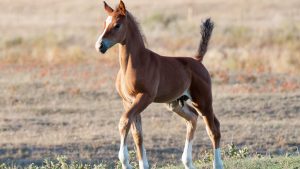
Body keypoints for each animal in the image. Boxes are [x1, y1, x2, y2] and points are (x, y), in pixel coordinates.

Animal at [95, 0, 224, 168]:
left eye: (117, 25)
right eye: (105, 23)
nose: (100, 45)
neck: (134, 64)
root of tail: (197, 60)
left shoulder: (145, 97)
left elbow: (124, 121)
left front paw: (125, 162)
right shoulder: (127, 101)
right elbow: (137, 134)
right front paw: (143, 165)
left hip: (203, 101)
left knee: (213, 130)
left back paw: (217, 164)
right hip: (175, 103)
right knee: (193, 118)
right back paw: (187, 162)